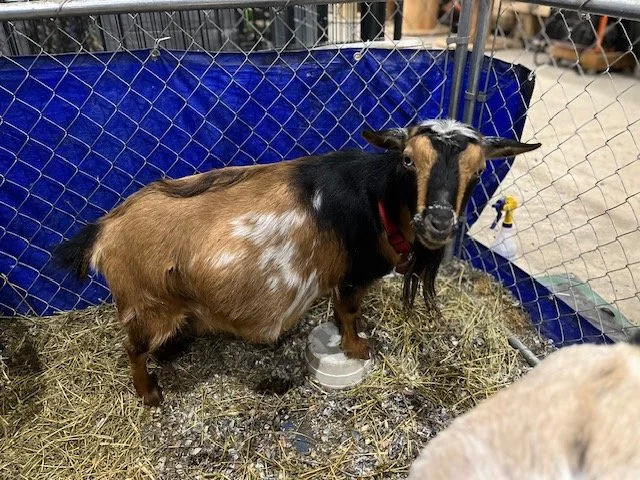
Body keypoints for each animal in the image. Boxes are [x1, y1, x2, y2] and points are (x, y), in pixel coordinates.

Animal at [53, 119, 540, 406]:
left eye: (479, 170)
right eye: (407, 160)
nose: (438, 221)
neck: (377, 197)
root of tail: (104, 230)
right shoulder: (353, 274)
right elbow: (348, 312)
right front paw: (358, 347)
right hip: (146, 306)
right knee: (133, 351)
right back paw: (150, 393)